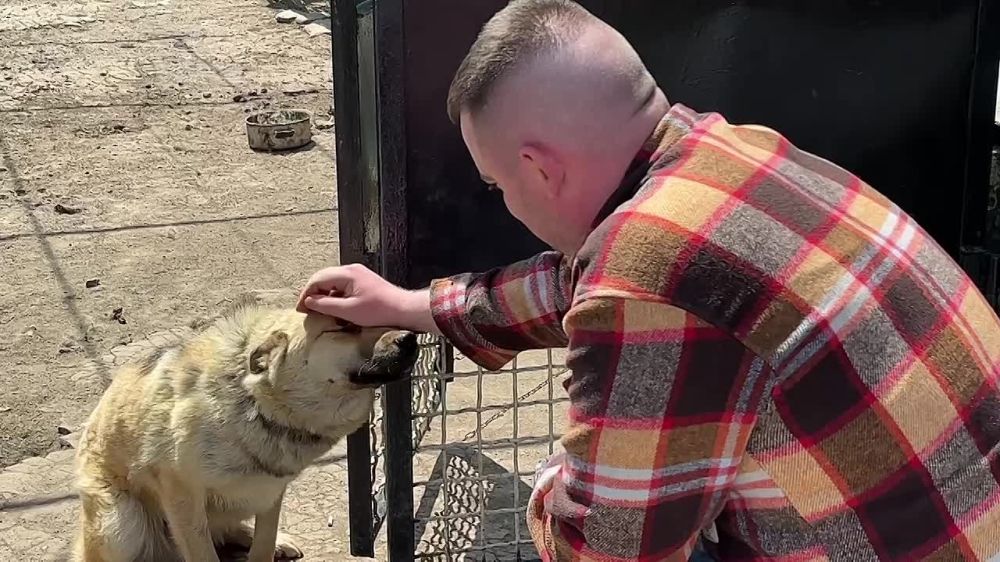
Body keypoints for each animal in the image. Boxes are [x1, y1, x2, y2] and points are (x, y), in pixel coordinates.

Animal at [71, 299, 418, 562]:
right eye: (343, 325)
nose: (411, 338)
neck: (257, 401)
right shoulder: (182, 492)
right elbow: (204, 553)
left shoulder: (271, 490)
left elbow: (263, 543)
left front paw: (269, 543)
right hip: (122, 523)